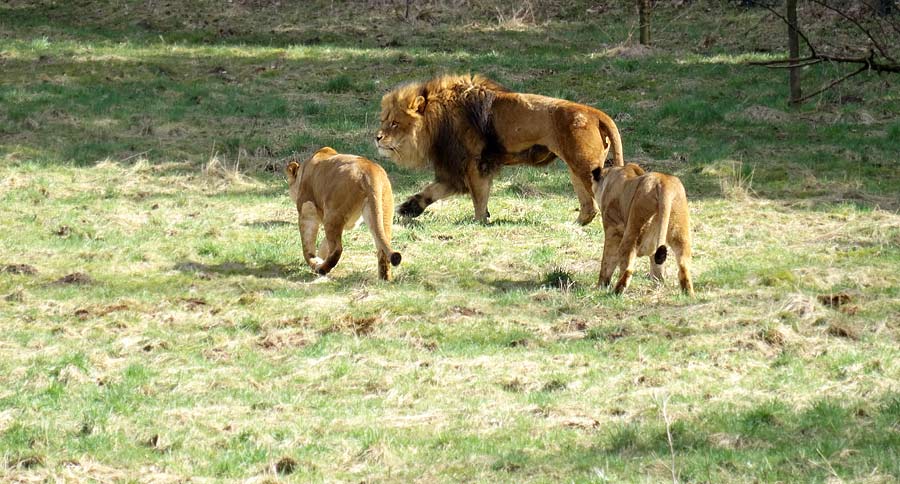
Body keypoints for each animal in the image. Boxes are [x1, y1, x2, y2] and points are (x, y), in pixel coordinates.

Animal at [288, 147, 400, 280]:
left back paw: (322, 269)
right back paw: (384, 280)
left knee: (337, 248)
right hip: (382, 212)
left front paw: (315, 261)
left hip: (332, 213)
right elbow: (324, 244)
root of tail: (370, 171)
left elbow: (308, 246)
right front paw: (320, 256)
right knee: (383, 248)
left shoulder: (307, 209)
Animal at [372, 74, 620, 226]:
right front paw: (408, 209)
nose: (377, 138)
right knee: (589, 208)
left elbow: (479, 197)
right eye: (384, 120)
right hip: (576, 168)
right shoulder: (455, 171)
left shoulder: (475, 163)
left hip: (585, 168)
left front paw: (479, 222)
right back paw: (570, 226)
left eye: (395, 123)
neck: (438, 119)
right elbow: (432, 191)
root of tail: (595, 113)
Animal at [592, 163, 696, 294]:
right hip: (680, 231)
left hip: (635, 226)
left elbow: (607, 261)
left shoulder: (613, 228)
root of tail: (663, 181)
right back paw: (687, 294)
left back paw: (616, 292)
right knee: (683, 265)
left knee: (628, 267)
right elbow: (655, 266)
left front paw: (600, 287)